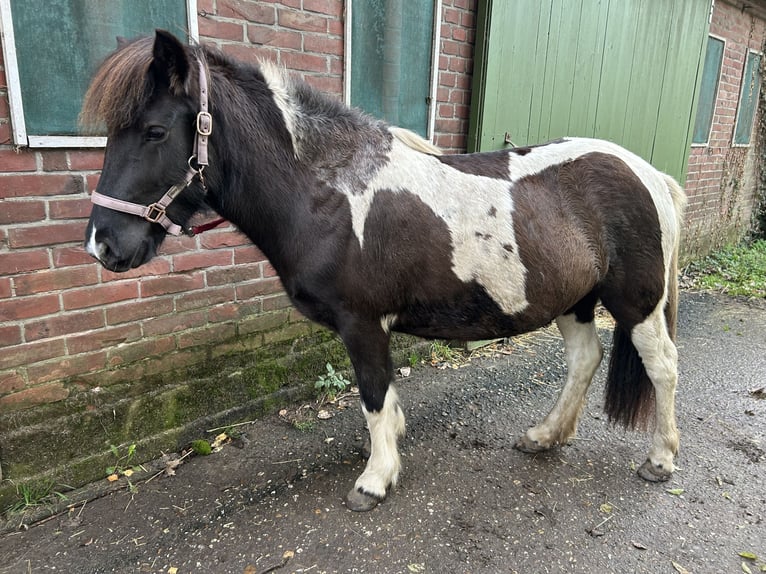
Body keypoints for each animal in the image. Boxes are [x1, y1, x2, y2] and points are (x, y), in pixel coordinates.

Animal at [81, 30, 687, 512]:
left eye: (155, 131)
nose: (103, 245)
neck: (329, 194)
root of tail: (647, 172)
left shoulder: (363, 324)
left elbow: (373, 396)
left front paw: (373, 481)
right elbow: (386, 401)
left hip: (636, 303)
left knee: (662, 366)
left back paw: (660, 460)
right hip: (574, 300)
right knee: (585, 360)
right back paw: (544, 436)